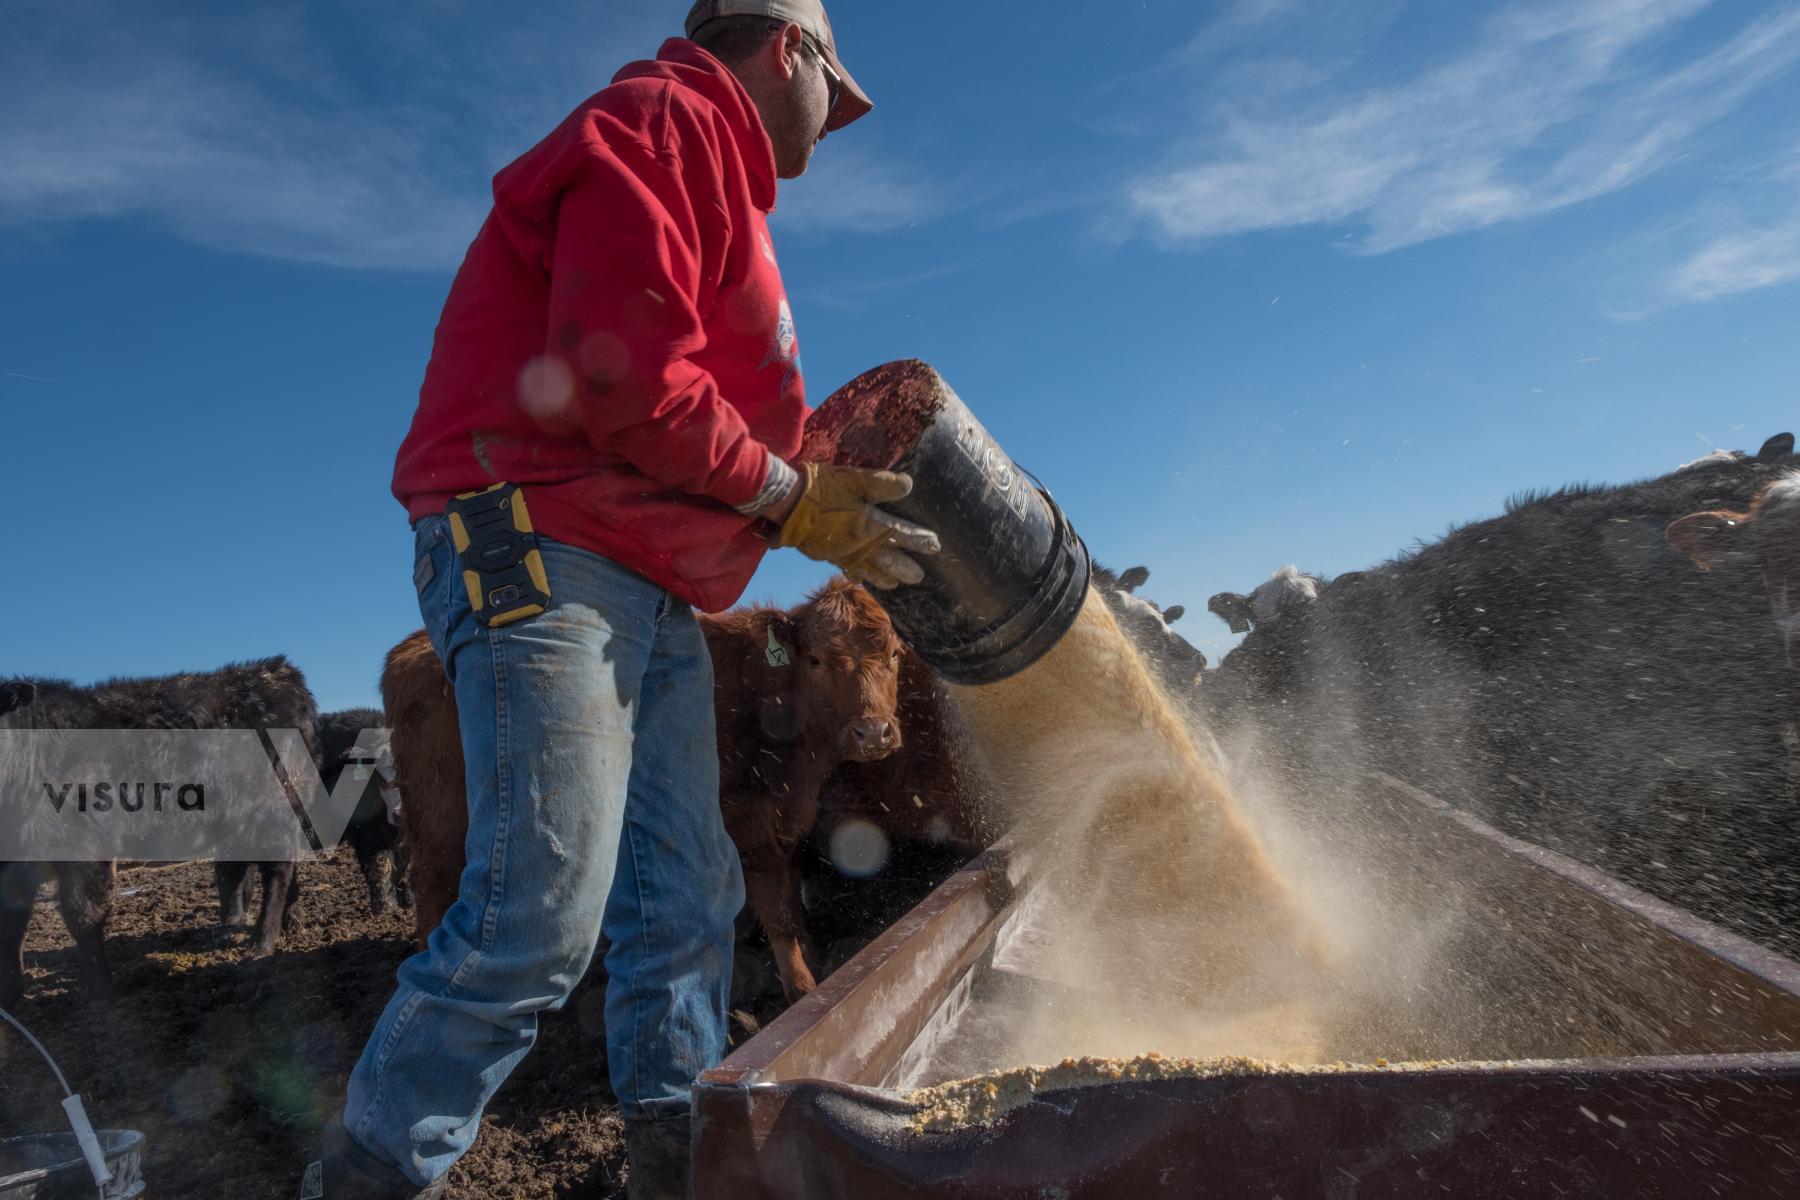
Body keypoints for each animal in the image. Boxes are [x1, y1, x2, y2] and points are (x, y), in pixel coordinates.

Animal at [385, 575, 907, 1000]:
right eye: (816, 659)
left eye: (894, 655)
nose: (874, 732)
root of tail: (408, 648)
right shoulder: (753, 824)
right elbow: (779, 912)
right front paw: (802, 987)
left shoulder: (785, 821)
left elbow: (791, 909)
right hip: (439, 817)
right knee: (432, 887)